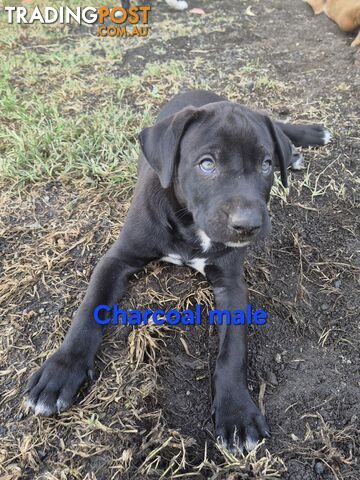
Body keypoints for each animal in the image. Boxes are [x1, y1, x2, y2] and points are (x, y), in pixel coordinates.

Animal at [25, 89, 330, 450]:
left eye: (266, 164)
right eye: (207, 164)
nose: (248, 226)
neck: (189, 226)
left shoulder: (231, 284)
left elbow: (233, 351)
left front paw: (236, 412)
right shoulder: (116, 259)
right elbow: (88, 310)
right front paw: (61, 370)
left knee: (279, 126)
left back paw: (304, 139)